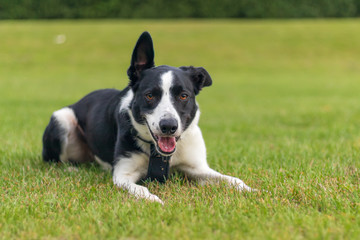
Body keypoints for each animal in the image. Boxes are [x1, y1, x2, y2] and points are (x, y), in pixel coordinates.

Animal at [42, 31, 253, 202]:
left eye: (183, 96)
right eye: (150, 95)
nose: (168, 126)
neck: (160, 156)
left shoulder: (198, 169)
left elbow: (232, 179)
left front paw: (251, 191)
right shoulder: (122, 175)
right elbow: (141, 190)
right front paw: (154, 200)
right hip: (62, 119)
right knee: (54, 161)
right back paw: (72, 169)